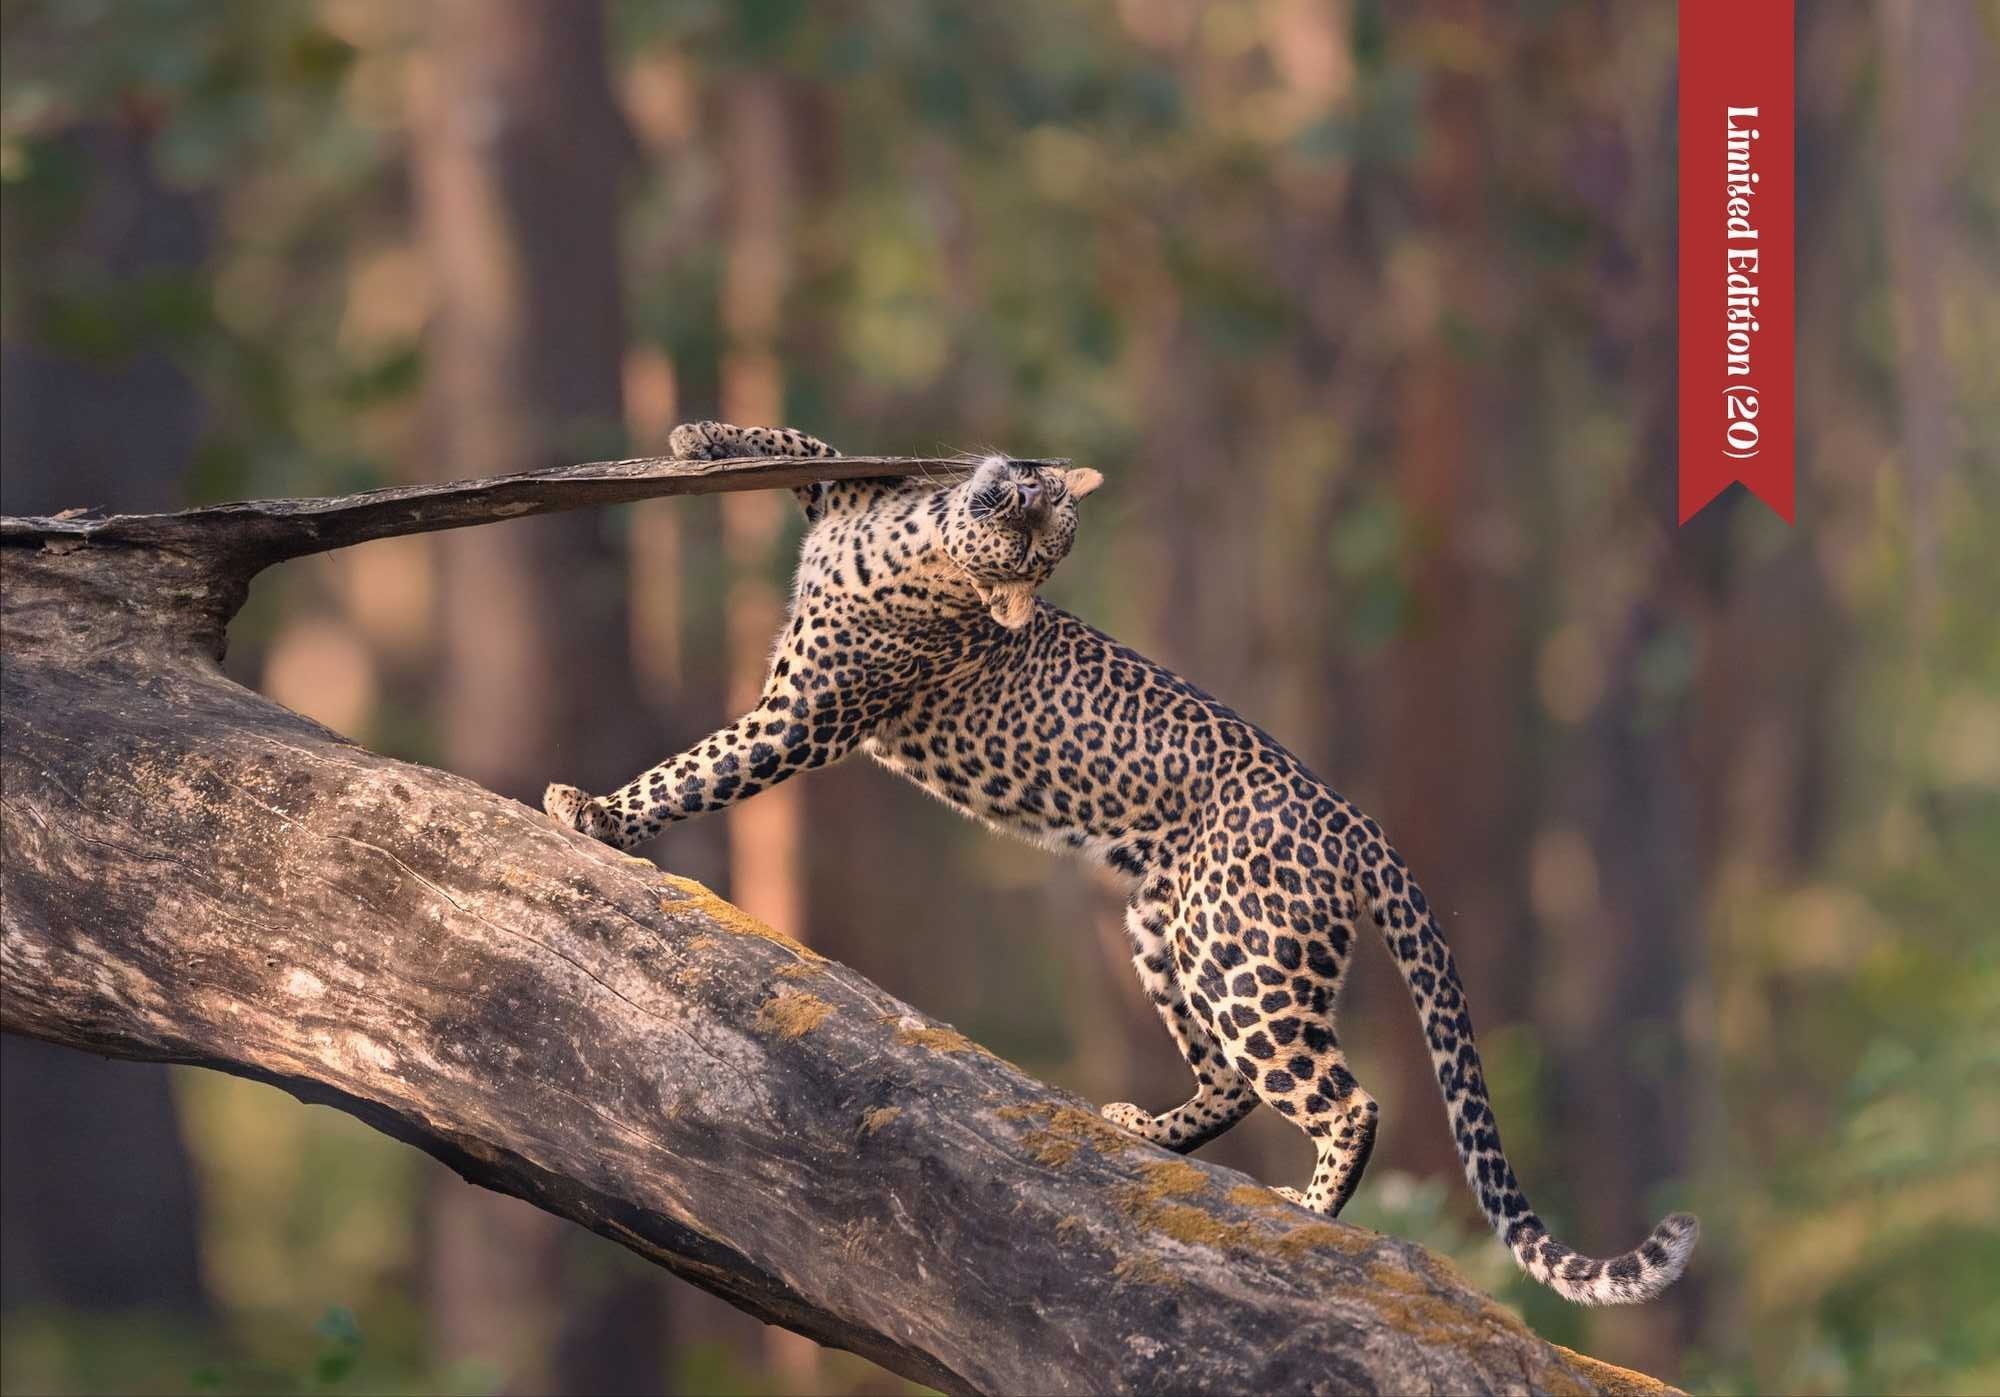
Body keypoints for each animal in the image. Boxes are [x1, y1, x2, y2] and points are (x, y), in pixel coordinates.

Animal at [552, 418, 1704, 1296]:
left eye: (1037, 533)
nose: (1014, 487)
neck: (914, 541)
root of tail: (1356, 823)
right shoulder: (855, 502)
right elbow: (817, 448)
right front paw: (704, 438)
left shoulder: (802, 720)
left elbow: (697, 769)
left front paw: (593, 813)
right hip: (1168, 927)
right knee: (1229, 1076)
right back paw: (1148, 1130)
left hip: (1246, 960)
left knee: (1341, 1096)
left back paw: (1306, 1206)